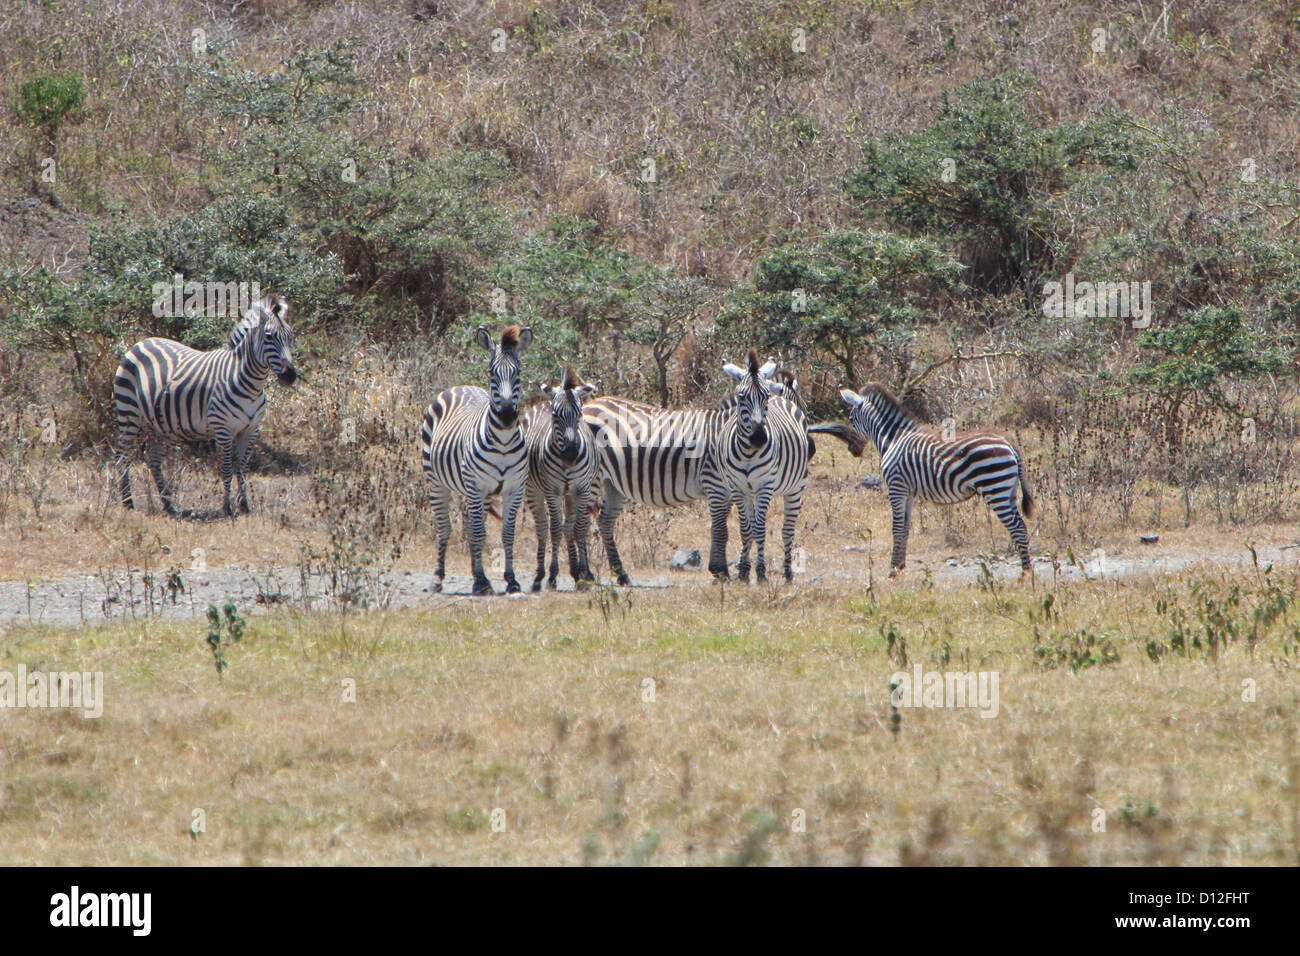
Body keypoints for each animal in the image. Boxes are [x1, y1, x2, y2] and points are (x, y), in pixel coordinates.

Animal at [112, 293, 297, 515]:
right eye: (269, 337)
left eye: (290, 336)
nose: (290, 376)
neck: (251, 385)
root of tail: (142, 342)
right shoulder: (223, 428)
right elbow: (227, 469)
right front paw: (227, 507)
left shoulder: (251, 430)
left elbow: (242, 469)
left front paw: (244, 505)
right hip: (128, 412)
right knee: (123, 457)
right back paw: (128, 502)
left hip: (159, 423)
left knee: (154, 460)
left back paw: (168, 504)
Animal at [421, 325, 533, 595]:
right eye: (492, 373)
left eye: (518, 373)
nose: (506, 416)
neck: (503, 441)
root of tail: (461, 386)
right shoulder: (476, 485)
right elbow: (481, 534)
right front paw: (482, 581)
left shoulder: (514, 488)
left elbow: (506, 534)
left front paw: (510, 580)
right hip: (437, 481)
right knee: (445, 528)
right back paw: (438, 578)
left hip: (479, 492)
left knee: (472, 528)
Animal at [520, 366, 595, 590]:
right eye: (556, 416)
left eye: (580, 414)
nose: (570, 454)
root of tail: (543, 401)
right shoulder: (552, 490)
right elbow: (555, 529)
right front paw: (553, 575)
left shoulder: (582, 489)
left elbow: (579, 528)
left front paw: (584, 573)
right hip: (533, 490)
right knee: (543, 527)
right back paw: (539, 576)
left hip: (570, 493)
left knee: (568, 526)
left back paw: (575, 571)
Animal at [821, 382, 1034, 574]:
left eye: (850, 418)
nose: (853, 450)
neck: (893, 439)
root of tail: (1008, 443)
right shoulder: (907, 491)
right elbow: (905, 527)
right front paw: (900, 566)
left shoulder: (896, 486)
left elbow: (896, 528)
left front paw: (892, 570)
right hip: (1007, 490)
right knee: (1021, 526)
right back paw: (1027, 573)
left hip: (995, 487)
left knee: (1017, 528)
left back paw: (1025, 575)